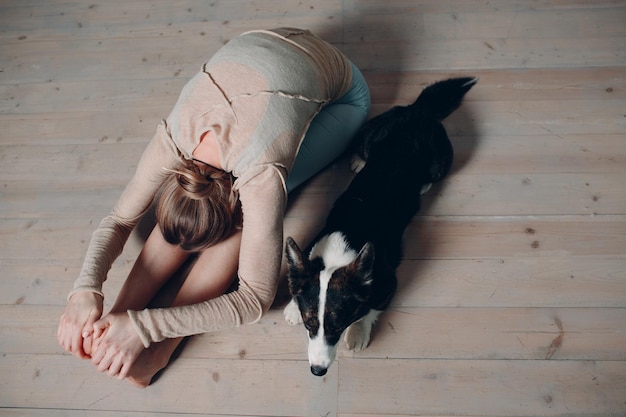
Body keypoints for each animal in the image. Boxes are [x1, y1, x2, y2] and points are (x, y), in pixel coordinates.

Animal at [282, 75, 472, 376]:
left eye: (339, 325)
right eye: (309, 323)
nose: (318, 371)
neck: (338, 255)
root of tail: (419, 111)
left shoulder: (388, 285)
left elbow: (370, 310)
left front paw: (358, 333)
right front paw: (292, 306)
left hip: (440, 166)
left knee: (433, 175)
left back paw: (423, 186)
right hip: (368, 136)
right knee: (364, 149)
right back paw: (359, 162)